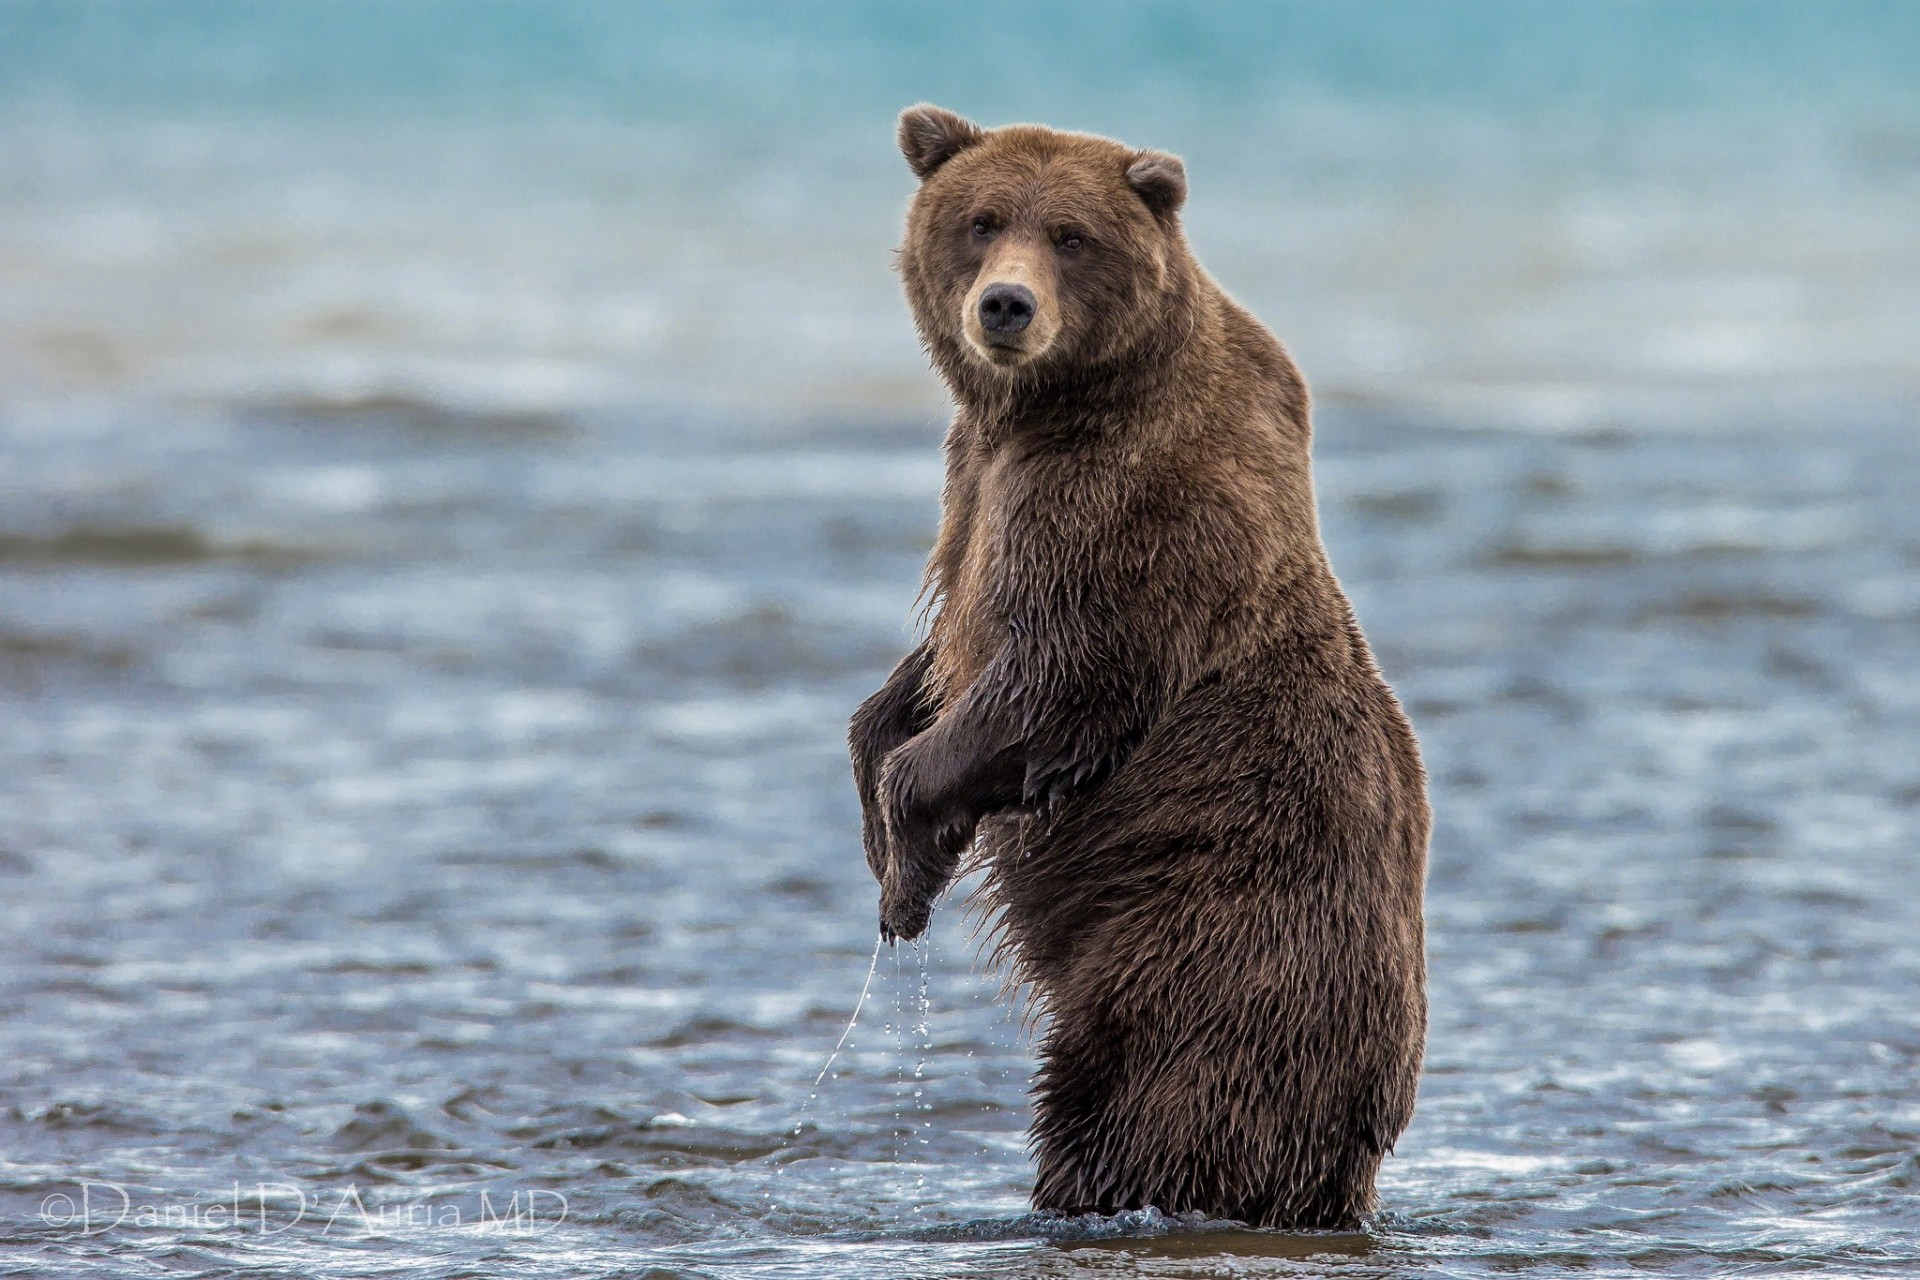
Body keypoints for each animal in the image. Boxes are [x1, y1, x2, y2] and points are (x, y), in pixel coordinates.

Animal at [852, 107, 1428, 1228]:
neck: (1051, 405)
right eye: (982, 220)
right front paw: (881, 810)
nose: (1006, 305)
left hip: (1211, 952)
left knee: (1142, 1106)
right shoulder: (976, 479)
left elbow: (1057, 676)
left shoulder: (1127, 510)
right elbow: (932, 664)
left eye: (1071, 235)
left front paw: (908, 864)